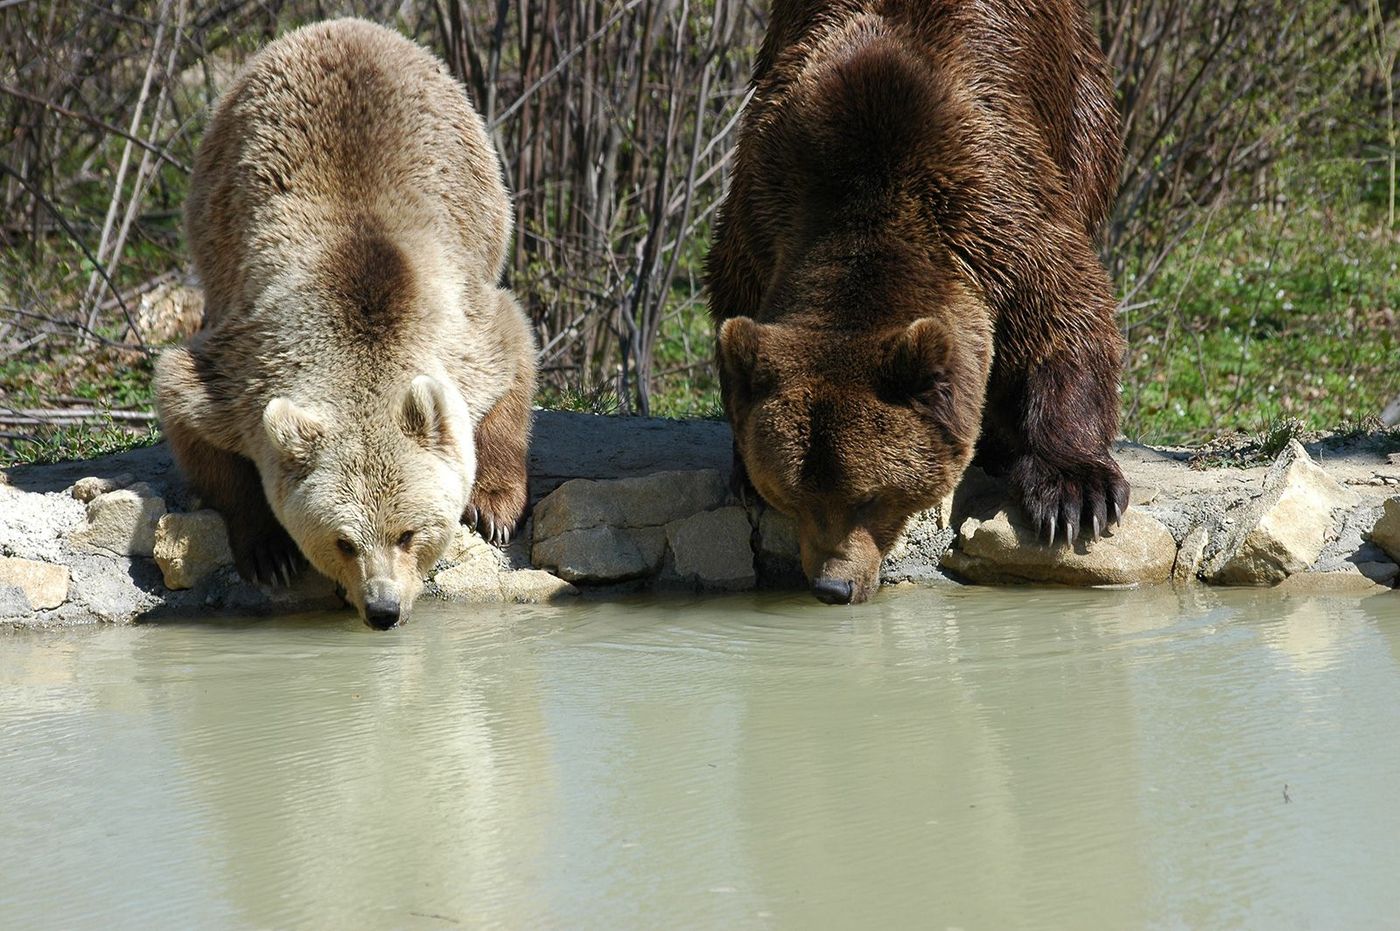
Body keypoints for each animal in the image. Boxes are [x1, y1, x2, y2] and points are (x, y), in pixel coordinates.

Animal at [156, 19, 537, 629]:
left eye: (409, 533)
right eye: (343, 541)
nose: (383, 609)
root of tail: (341, 25)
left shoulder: (461, 327)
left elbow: (512, 353)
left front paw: (494, 508)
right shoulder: (244, 372)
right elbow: (186, 402)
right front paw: (268, 550)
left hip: (482, 184)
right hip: (214, 209)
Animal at [707, 0, 1129, 604]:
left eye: (870, 495)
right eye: (793, 494)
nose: (833, 586)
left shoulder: (994, 202)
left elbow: (1061, 313)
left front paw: (1075, 495)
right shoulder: (763, 209)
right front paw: (742, 468)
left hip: (1077, 99)